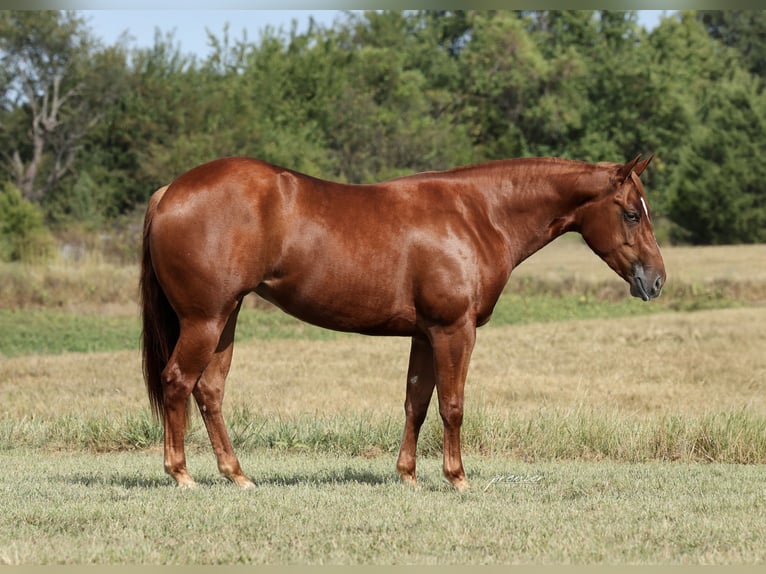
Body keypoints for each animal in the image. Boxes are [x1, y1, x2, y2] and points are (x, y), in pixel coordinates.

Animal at [140, 154, 665, 491]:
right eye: (631, 213)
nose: (657, 280)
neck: (476, 215)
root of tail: (169, 192)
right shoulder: (454, 330)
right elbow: (452, 405)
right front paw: (457, 479)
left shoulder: (425, 334)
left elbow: (417, 402)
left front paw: (408, 475)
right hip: (205, 320)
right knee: (177, 381)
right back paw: (182, 475)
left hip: (225, 318)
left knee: (209, 391)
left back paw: (238, 475)